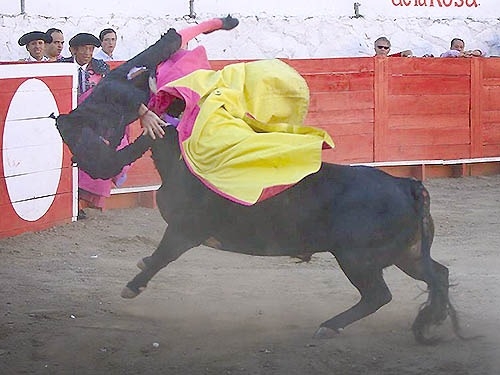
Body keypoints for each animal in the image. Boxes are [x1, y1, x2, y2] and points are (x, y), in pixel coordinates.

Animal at [53, 28, 460, 346]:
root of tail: (408, 185)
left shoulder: (185, 231)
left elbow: (162, 256)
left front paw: (132, 285)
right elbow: (156, 257)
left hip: (357, 256)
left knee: (379, 294)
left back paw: (331, 327)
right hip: (405, 252)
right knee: (437, 274)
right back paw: (431, 324)